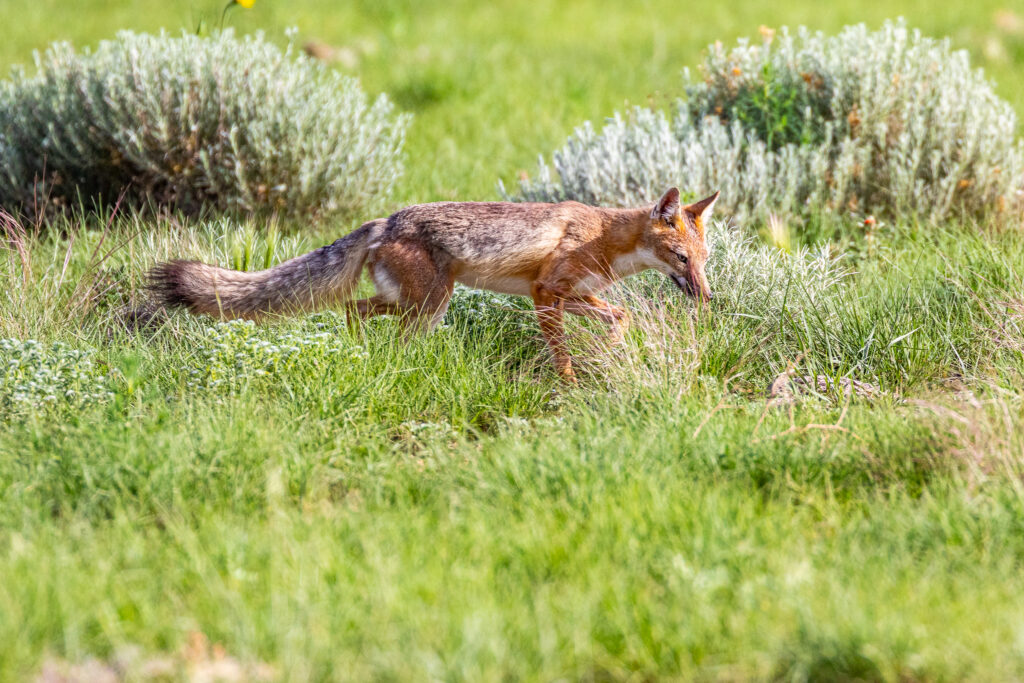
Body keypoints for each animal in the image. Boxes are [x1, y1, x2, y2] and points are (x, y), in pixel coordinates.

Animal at [149, 187, 720, 382]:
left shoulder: (569, 295)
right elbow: (562, 358)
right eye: (681, 258)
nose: (708, 296)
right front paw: (573, 388)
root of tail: (383, 221)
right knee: (371, 322)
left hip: (413, 305)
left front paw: (618, 350)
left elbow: (620, 315)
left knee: (353, 310)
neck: (603, 236)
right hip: (429, 306)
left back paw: (361, 355)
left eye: (704, 260)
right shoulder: (545, 296)